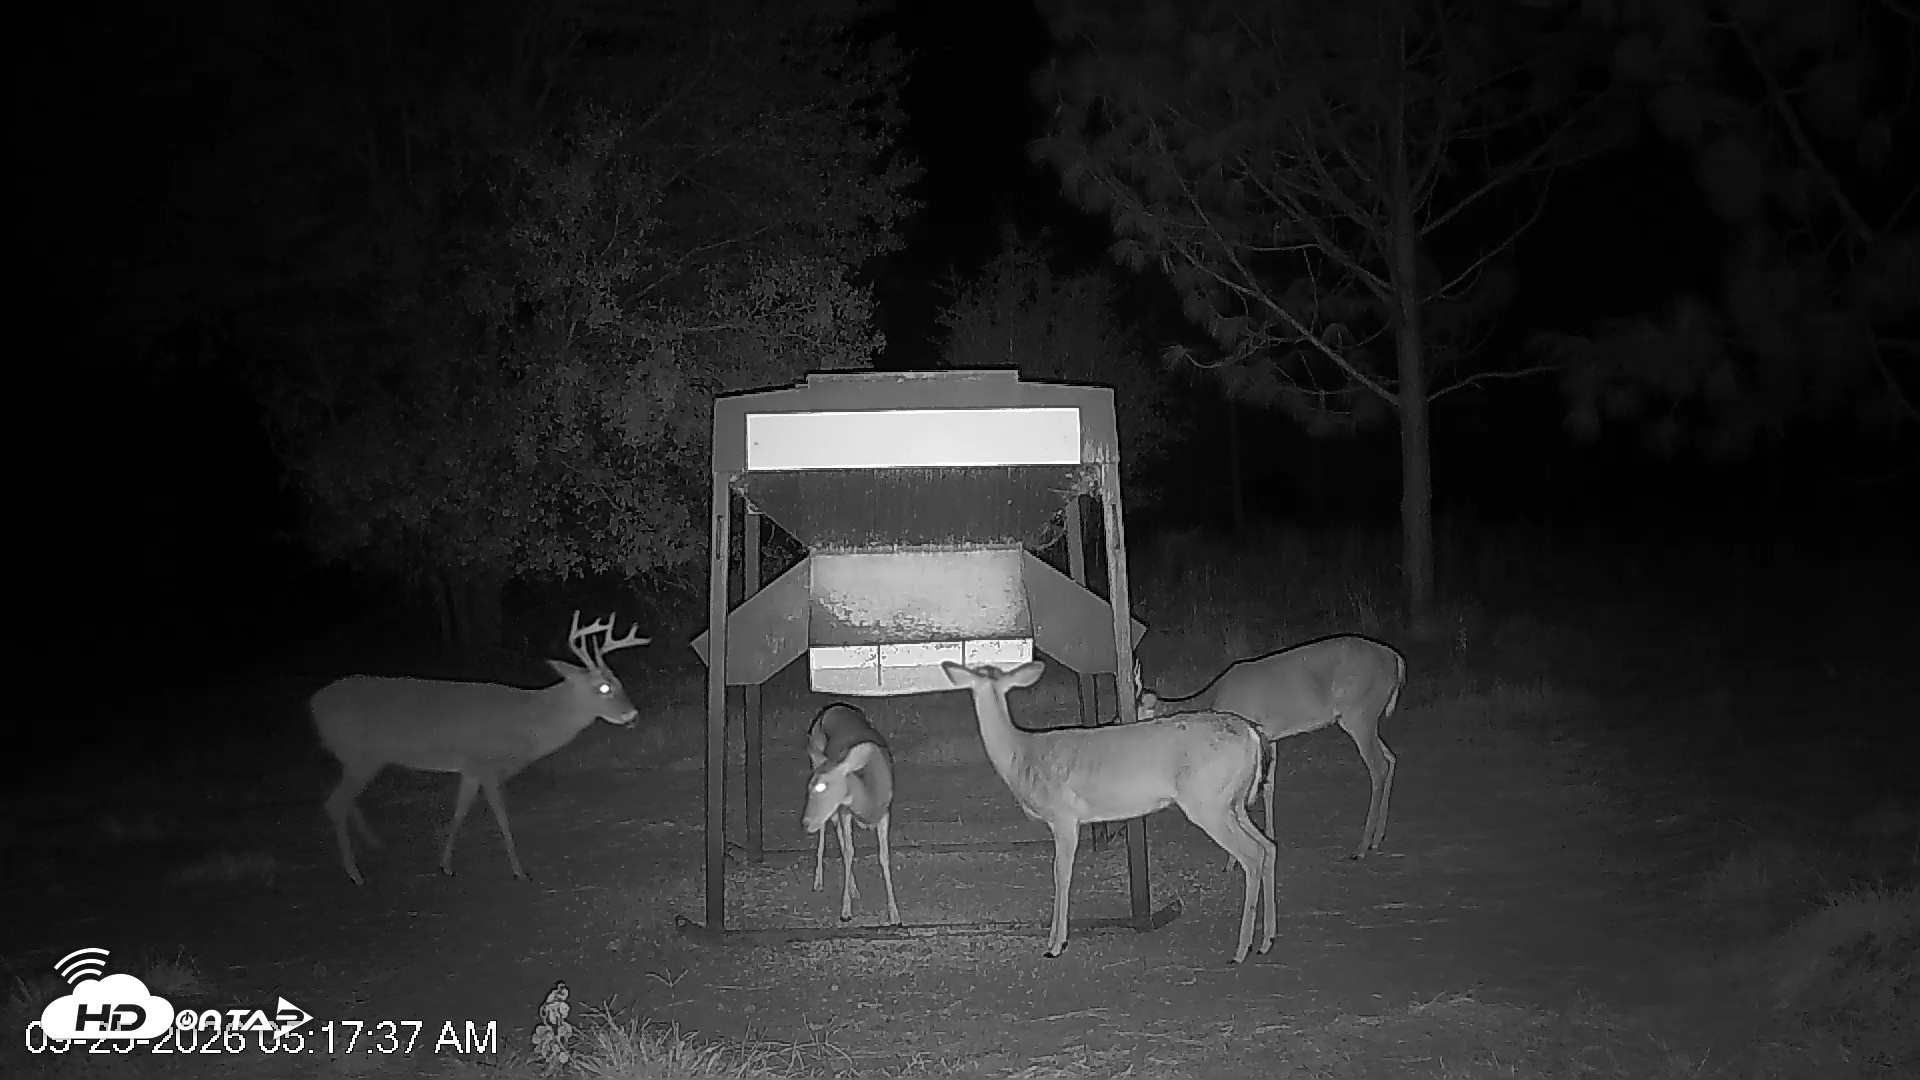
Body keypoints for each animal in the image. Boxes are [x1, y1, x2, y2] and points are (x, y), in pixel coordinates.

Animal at [311, 611, 651, 885]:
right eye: (603, 687)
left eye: (618, 681)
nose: (632, 715)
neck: (530, 720)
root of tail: (313, 704)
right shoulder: (487, 763)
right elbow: (502, 817)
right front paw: (520, 871)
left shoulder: (471, 767)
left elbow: (459, 812)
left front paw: (446, 865)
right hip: (362, 755)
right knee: (335, 803)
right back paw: (355, 873)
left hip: (357, 758)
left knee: (342, 800)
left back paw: (373, 847)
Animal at [801, 703, 901, 924]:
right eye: (810, 787)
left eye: (822, 786)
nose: (805, 823)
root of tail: (833, 708)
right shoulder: (844, 810)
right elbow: (848, 852)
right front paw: (846, 911)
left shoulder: (885, 813)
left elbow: (884, 856)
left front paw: (895, 914)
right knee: (829, 829)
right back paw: (819, 881)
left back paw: (853, 888)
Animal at [942, 660, 1275, 963]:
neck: (1021, 755)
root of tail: (1252, 733)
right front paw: (1053, 939)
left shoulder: (1063, 816)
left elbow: (1061, 874)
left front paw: (1056, 944)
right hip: (1233, 802)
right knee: (1268, 847)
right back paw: (1266, 940)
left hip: (1209, 802)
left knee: (1253, 855)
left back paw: (1241, 950)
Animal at [1136, 635, 1406, 861]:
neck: (1214, 699)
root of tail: (1395, 657)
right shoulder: (1269, 736)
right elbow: (1268, 786)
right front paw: (1270, 836)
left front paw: (1232, 861)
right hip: (1365, 717)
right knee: (1391, 757)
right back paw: (1377, 838)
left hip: (1359, 713)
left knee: (1378, 768)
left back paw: (1361, 847)